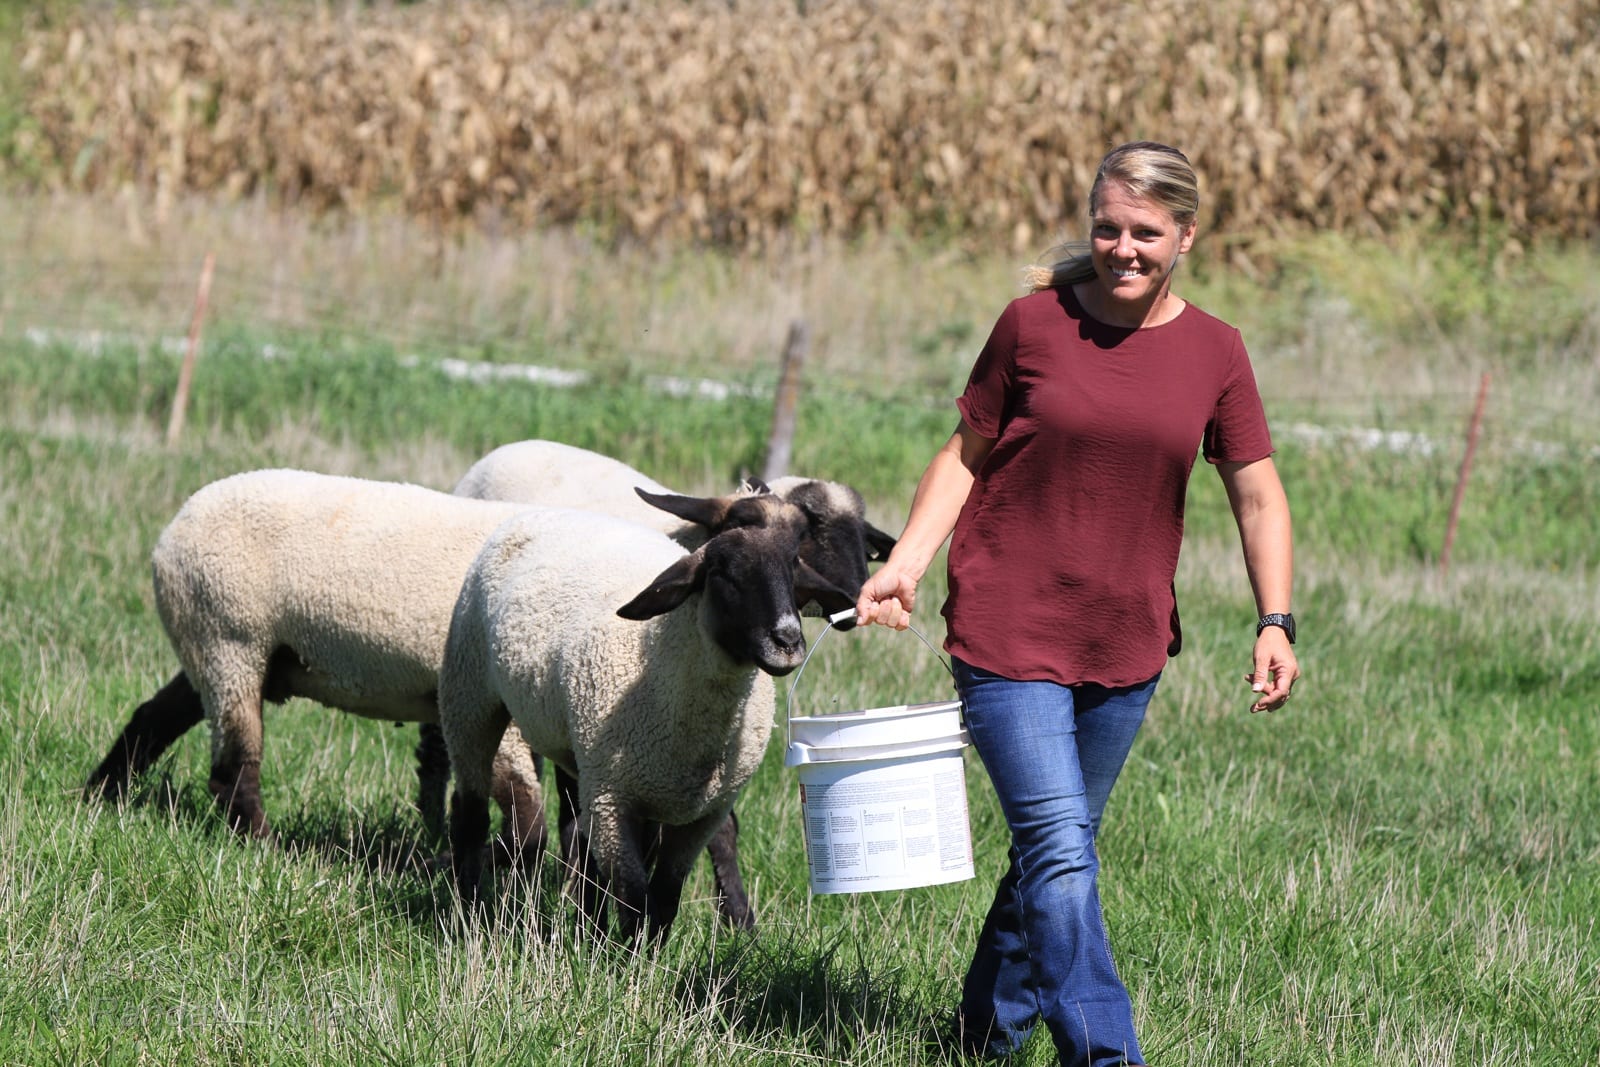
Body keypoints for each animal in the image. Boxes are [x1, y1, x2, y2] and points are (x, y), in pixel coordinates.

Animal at [82, 468, 560, 862]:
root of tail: (173, 529)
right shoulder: (488, 706)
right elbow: (526, 818)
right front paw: (450, 862)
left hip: (213, 640)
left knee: (153, 717)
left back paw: (99, 797)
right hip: (231, 637)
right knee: (232, 767)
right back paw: (268, 848)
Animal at [445, 438, 897, 927]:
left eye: (798, 548)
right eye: (725, 568)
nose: (856, 597)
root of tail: (516, 445)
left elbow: (685, 865)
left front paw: (739, 920)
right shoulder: (622, 784)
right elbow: (639, 882)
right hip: (472, 697)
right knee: (474, 806)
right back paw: (471, 901)